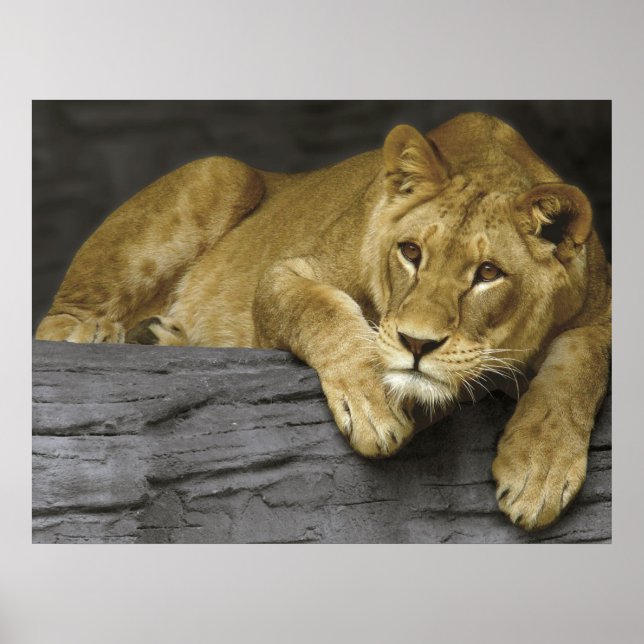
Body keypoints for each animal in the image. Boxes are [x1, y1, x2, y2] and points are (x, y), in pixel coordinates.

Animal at [36, 112, 611, 531]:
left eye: (488, 273)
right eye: (411, 252)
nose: (416, 343)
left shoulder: (603, 313)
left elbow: (583, 359)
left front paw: (538, 471)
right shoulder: (285, 272)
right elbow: (325, 312)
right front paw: (374, 405)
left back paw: (160, 337)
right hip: (222, 172)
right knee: (53, 325)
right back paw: (103, 333)